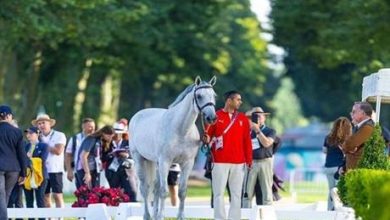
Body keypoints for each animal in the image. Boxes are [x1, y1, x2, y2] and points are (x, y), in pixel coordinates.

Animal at [130, 76, 216, 219]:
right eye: (199, 96)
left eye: (214, 95)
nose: (212, 117)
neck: (181, 130)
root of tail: (137, 116)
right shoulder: (165, 161)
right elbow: (164, 191)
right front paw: (161, 216)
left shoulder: (187, 163)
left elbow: (182, 191)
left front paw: (181, 216)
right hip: (140, 159)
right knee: (145, 188)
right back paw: (148, 215)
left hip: (155, 163)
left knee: (155, 187)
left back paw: (154, 215)